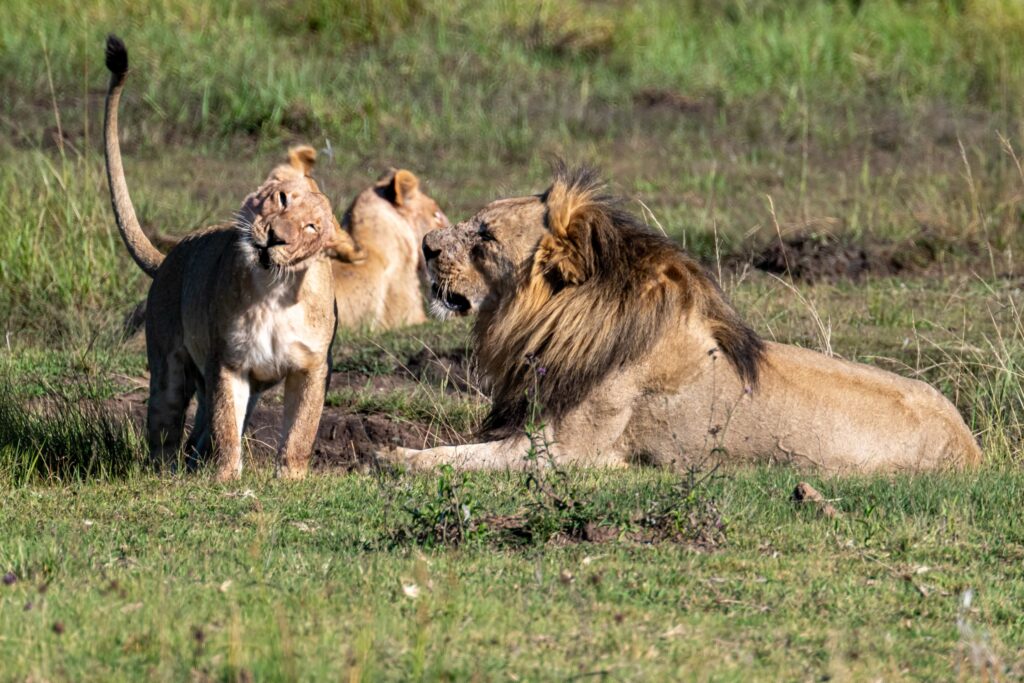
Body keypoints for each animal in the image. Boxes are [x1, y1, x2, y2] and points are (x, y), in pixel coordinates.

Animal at [106, 34, 362, 479]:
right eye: (281, 199)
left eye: (311, 228)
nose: (276, 237)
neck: (275, 291)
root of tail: (170, 255)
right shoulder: (228, 362)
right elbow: (227, 424)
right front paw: (226, 477)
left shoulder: (312, 365)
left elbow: (300, 430)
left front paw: (290, 479)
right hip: (169, 367)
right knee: (166, 423)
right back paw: (166, 473)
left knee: (197, 432)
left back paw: (192, 466)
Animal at [385, 166, 983, 475]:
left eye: (485, 236)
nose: (427, 245)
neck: (553, 324)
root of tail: (972, 447)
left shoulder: (569, 453)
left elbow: (455, 459)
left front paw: (391, 455)